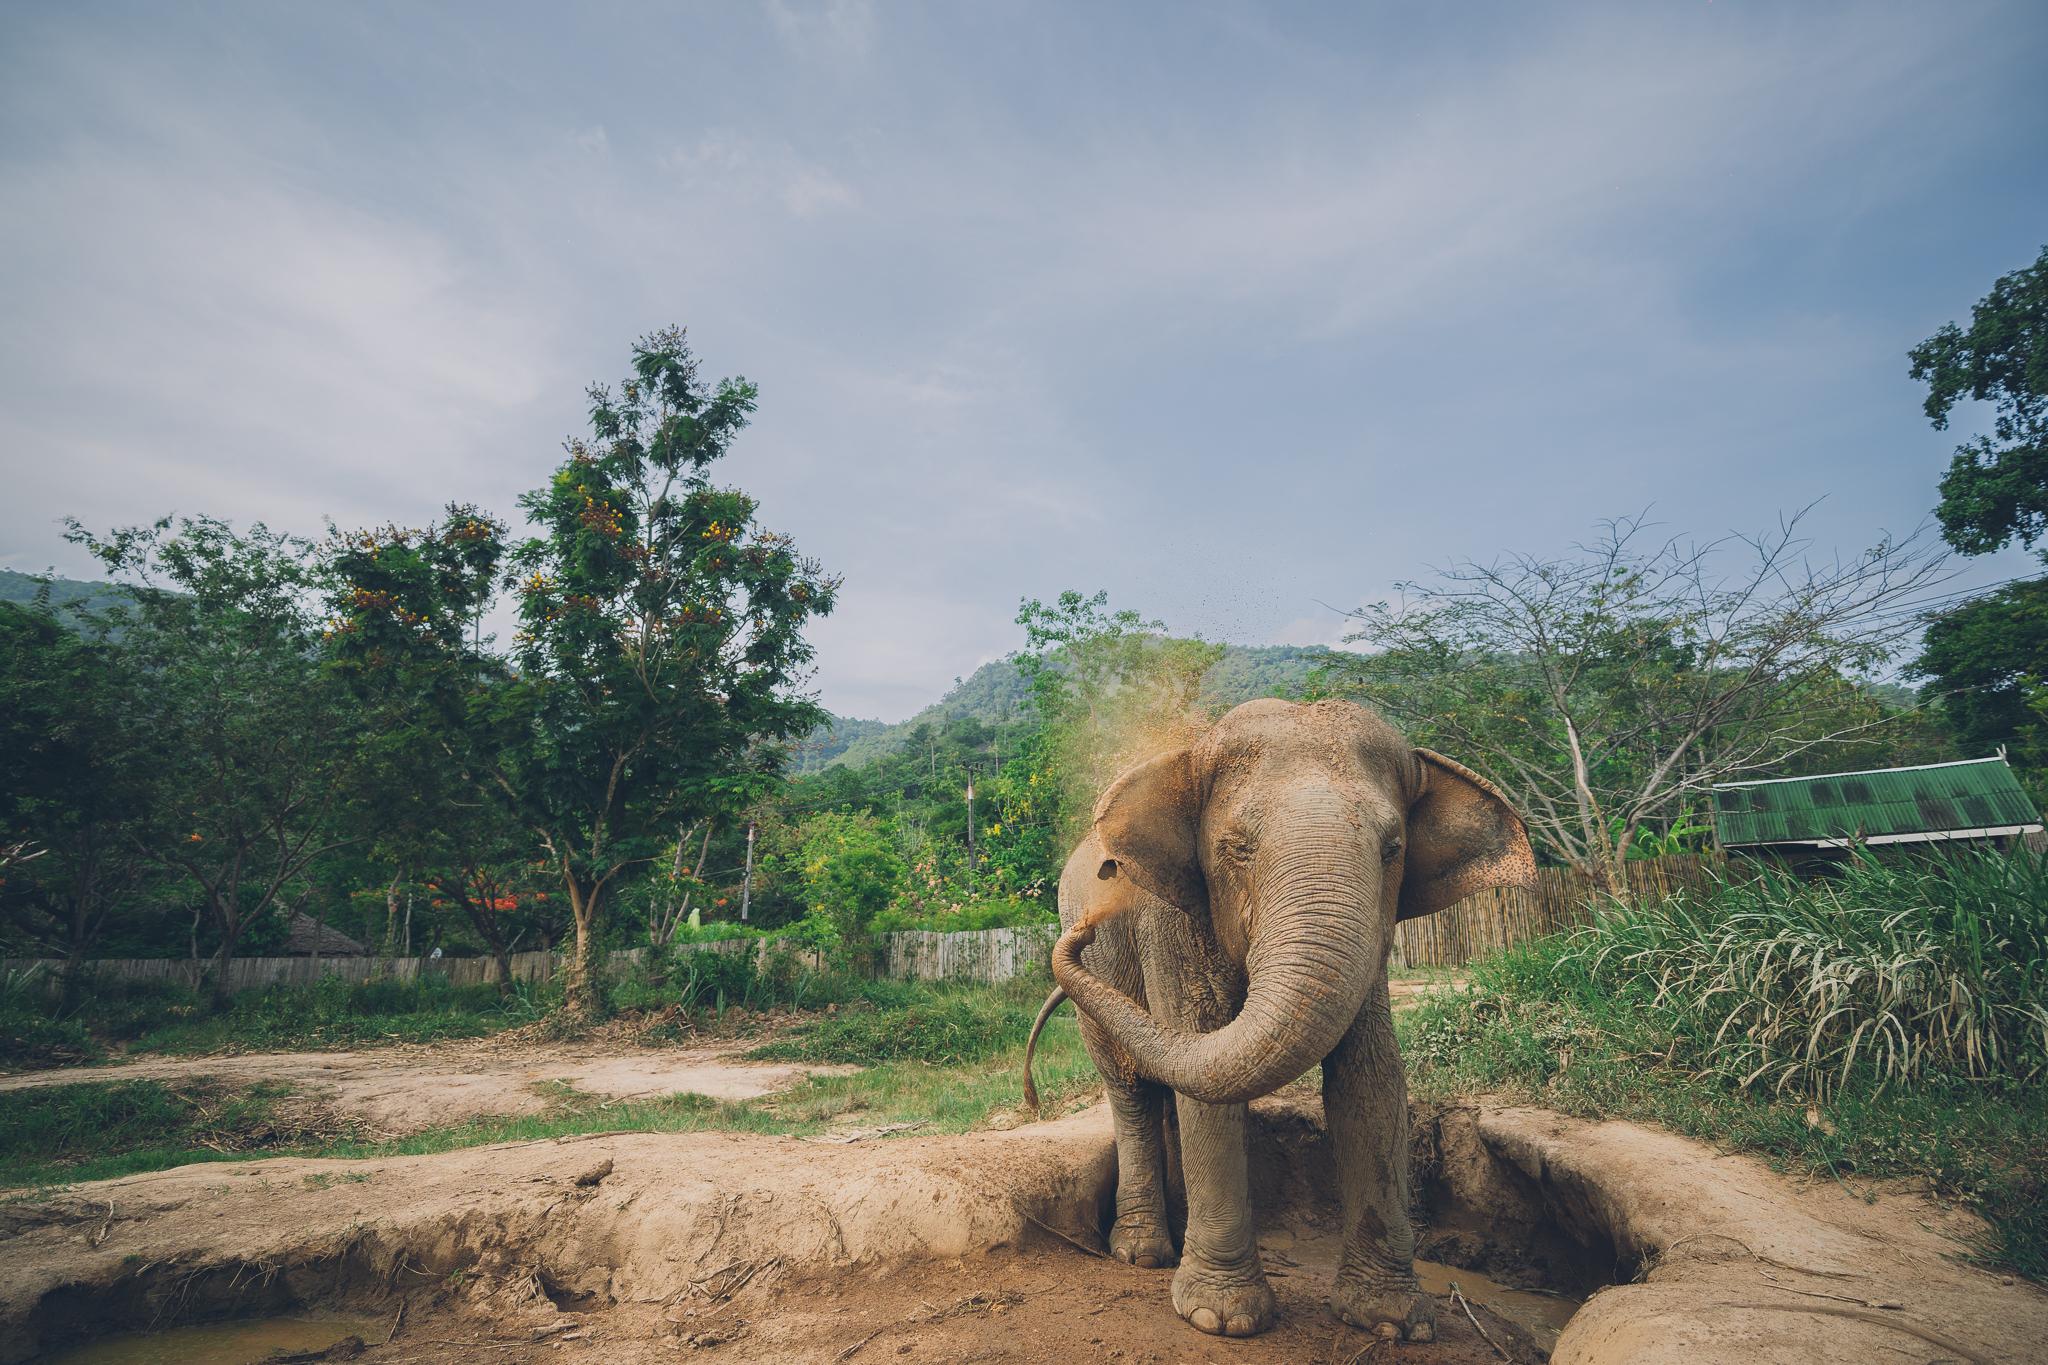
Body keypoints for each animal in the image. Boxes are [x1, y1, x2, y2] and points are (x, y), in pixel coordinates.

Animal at [1020, 697, 1535, 1341]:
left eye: (1393, 849)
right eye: (1237, 847)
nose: (1087, 928)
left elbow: (1371, 1077)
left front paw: (1392, 1322)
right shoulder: (1170, 919)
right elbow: (1203, 1050)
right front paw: (1220, 1319)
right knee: (1131, 1086)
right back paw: (1142, 1254)